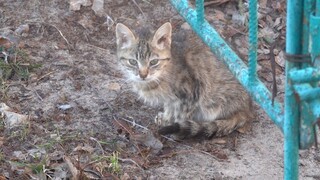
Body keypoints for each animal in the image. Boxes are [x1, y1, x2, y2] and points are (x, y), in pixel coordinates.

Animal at [115, 22, 252, 138]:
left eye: (153, 62)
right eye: (133, 62)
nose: (143, 75)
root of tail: (247, 108)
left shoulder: (192, 92)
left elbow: (181, 114)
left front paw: (175, 127)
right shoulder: (172, 99)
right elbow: (170, 106)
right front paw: (166, 118)